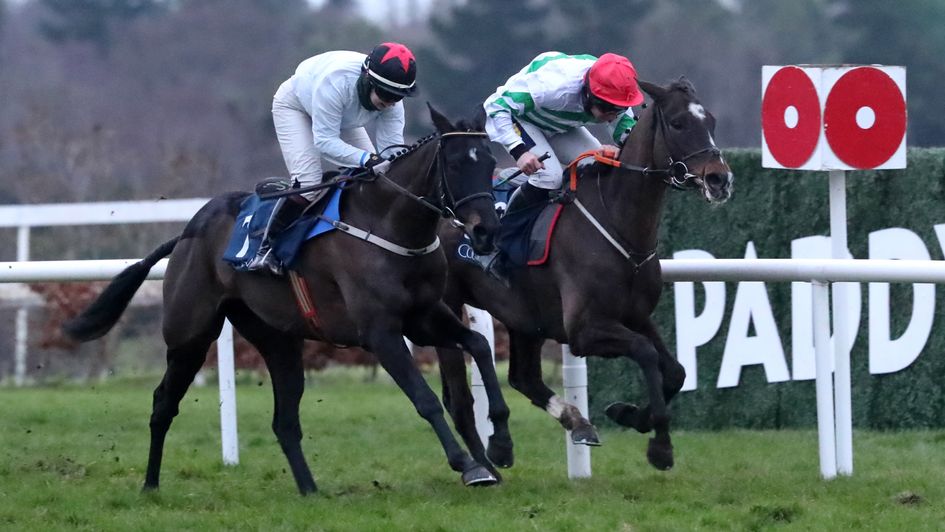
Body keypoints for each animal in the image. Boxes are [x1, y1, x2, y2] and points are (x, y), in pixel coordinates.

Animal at [62, 105, 512, 494]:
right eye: (456, 164)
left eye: (490, 161)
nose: (487, 231)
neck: (390, 226)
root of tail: (188, 233)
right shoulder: (380, 333)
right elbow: (426, 399)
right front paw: (469, 465)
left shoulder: (424, 316)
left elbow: (479, 345)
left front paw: (500, 445)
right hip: (190, 336)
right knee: (163, 404)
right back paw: (150, 485)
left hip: (277, 339)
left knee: (284, 421)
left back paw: (310, 490)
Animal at [438, 78, 732, 470]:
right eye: (679, 123)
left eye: (711, 120)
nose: (719, 179)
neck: (619, 223)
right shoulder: (584, 330)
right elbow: (646, 354)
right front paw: (660, 445)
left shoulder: (636, 316)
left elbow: (676, 371)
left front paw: (630, 415)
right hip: (447, 304)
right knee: (461, 393)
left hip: (524, 317)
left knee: (524, 378)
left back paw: (566, 425)